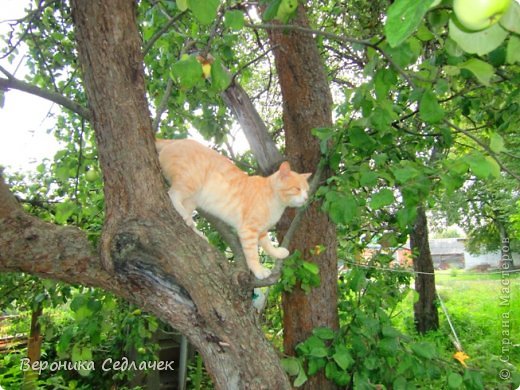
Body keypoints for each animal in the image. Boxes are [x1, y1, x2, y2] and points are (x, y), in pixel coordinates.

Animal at [154, 139, 308, 278]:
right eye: (297, 189)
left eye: (307, 190)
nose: (306, 198)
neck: (276, 202)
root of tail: (176, 140)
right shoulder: (248, 231)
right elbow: (253, 255)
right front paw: (258, 271)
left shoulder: (262, 231)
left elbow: (268, 245)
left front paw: (278, 253)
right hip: (190, 183)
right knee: (172, 194)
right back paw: (185, 216)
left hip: (192, 199)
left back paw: (197, 231)